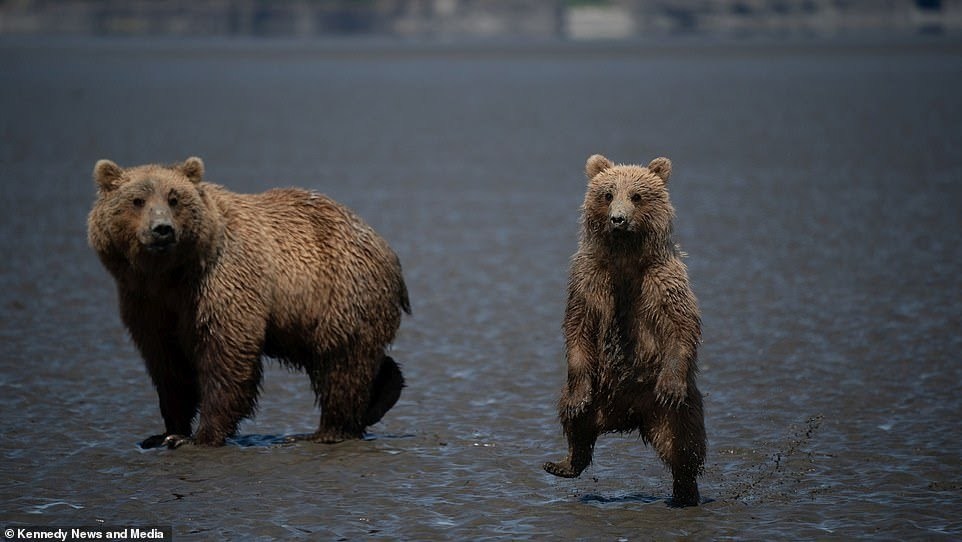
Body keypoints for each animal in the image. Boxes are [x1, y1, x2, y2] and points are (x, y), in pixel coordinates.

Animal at [85, 157, 408, 450]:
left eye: (174, 199)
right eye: (137, 200)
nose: (162, 229)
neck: (170, 275)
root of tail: (386, 247)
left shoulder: (220, 282)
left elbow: (226, 353)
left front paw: (199, 436)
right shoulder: (146, 302)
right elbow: (168, 364)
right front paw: (165, 433)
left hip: (339, 292)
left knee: (340, 362)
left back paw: (324, 431)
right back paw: (383, 395)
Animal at [544, 154, 708, 510]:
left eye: (637, 196)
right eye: (608, 194)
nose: (618, 219)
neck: (625, 258)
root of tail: (627, 417)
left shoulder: (662, 282)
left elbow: (682, 324)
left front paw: (670, 386)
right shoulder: (589, 280)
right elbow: (577, 327)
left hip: (670, 407)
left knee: (684, 443)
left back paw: (686, 492)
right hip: (598, 390)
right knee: (575, 421)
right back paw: (565, 462)